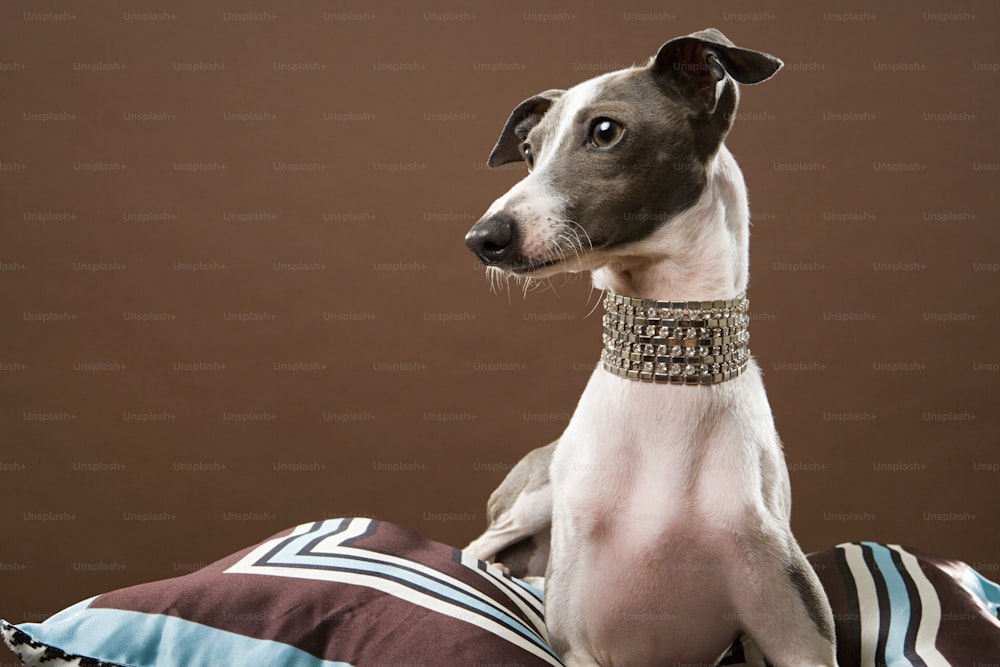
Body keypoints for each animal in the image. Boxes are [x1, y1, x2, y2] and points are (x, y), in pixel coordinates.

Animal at [464, 27, 840, 667]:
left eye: (605, 130)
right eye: (531, 150)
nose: (483, 238)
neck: (667, 388)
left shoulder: (796, 634)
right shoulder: (578, 646)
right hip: (535, 497)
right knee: (475, 551)